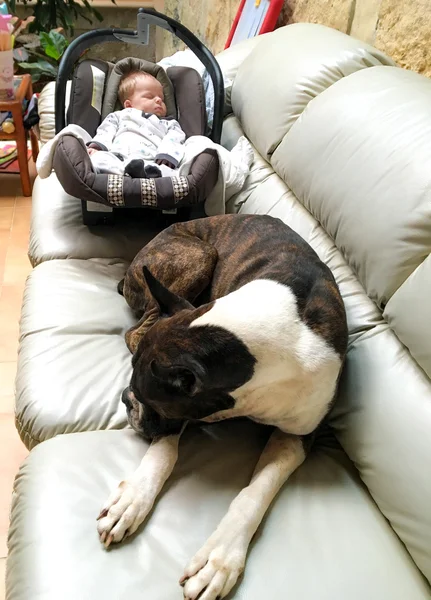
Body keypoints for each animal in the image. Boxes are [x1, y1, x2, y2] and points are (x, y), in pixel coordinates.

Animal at [97, 214, 348, 600]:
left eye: (150, 400)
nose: (126, 399)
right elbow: (163, 454)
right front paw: (133, 500)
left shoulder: (295, 437)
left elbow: (255, 493)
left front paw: (219, 559)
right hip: (199, 256)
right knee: (136, 331)